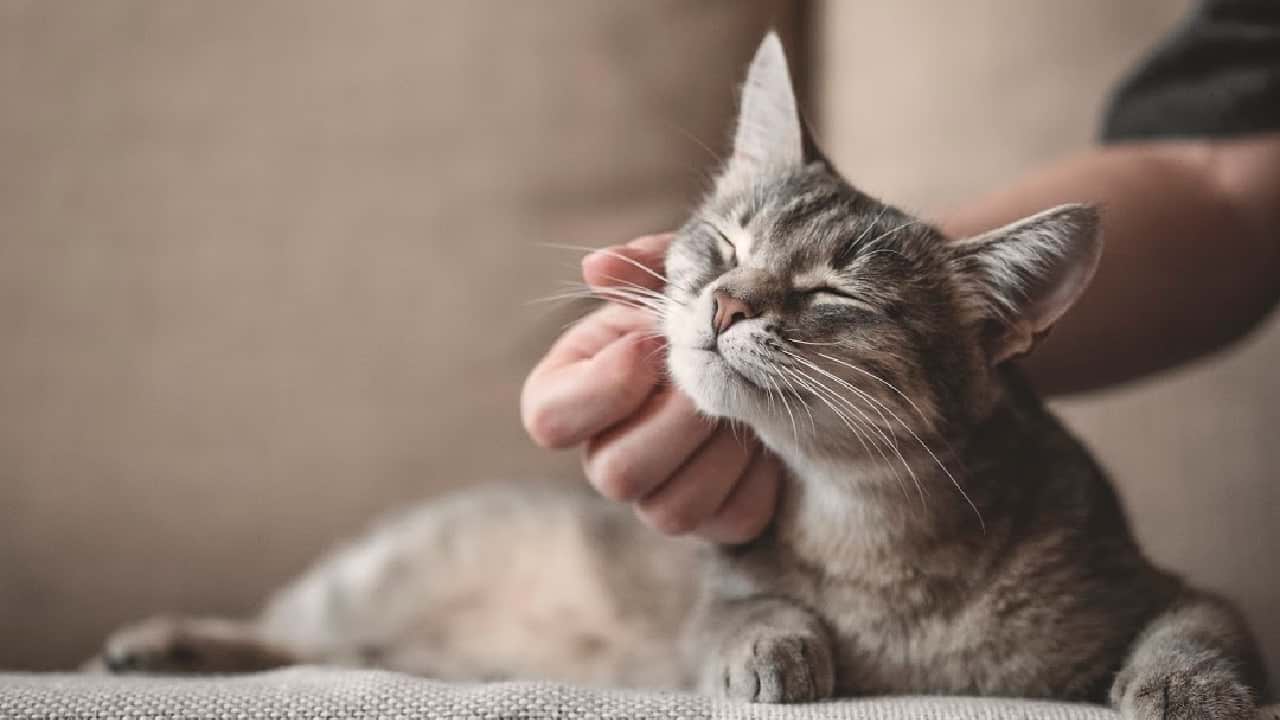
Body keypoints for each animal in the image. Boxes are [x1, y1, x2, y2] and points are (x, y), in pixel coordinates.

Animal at [94, 32, 1264, 717]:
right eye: (726, 241)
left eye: (833, 293)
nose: (727, 303)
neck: (874, 537)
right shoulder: (717, 592)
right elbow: (744, 612)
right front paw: (774, 648)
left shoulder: (1160, 583)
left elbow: (1203, 625)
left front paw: (1182, 687)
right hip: (372, 577)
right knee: (297, 633)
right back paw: (162, 641)